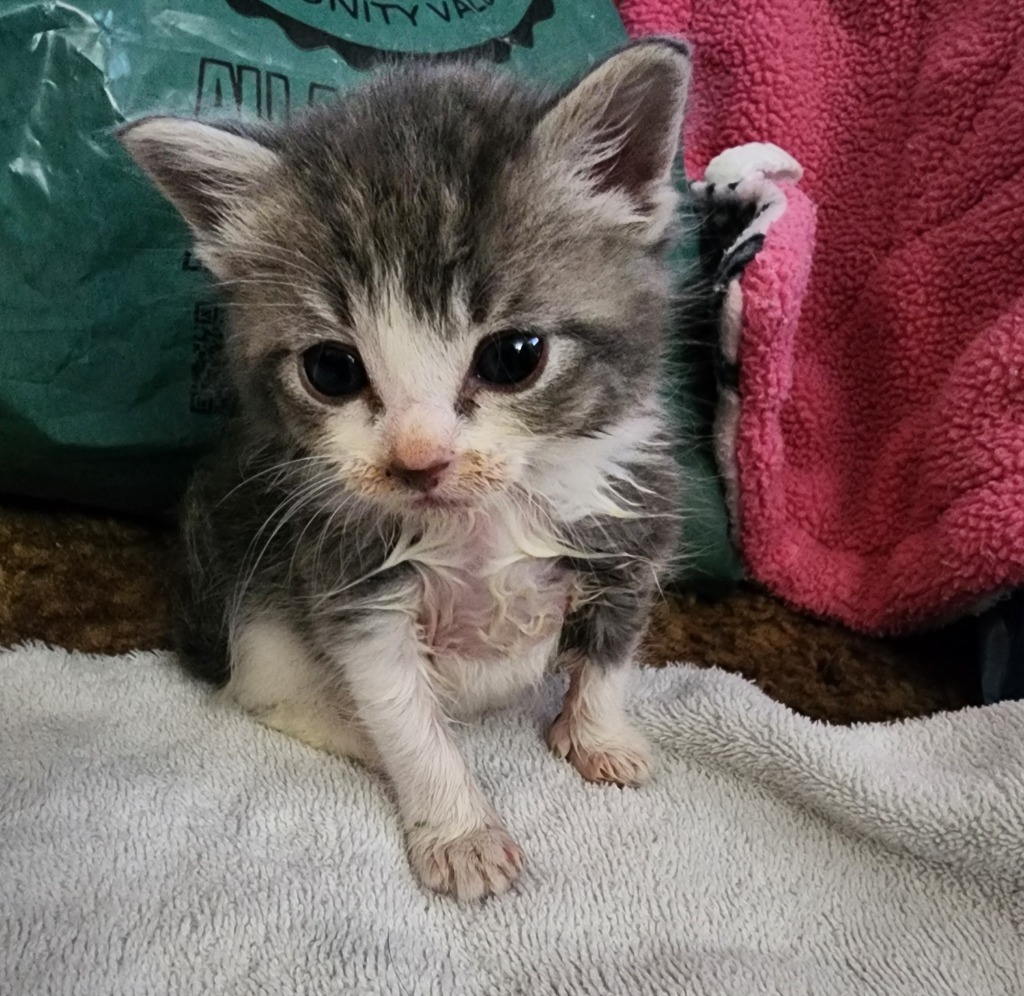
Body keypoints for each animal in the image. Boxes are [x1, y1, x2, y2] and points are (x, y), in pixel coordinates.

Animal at [119, 38, 692, 900]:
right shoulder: (353, 587)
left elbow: (613, 652)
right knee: (266, 693)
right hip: (251, 597)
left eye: (514, 356)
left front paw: (598, 734)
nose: (419, 460)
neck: (483, 520)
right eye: (331, 370)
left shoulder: (633, 521)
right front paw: (459, 831)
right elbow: (403, 715)